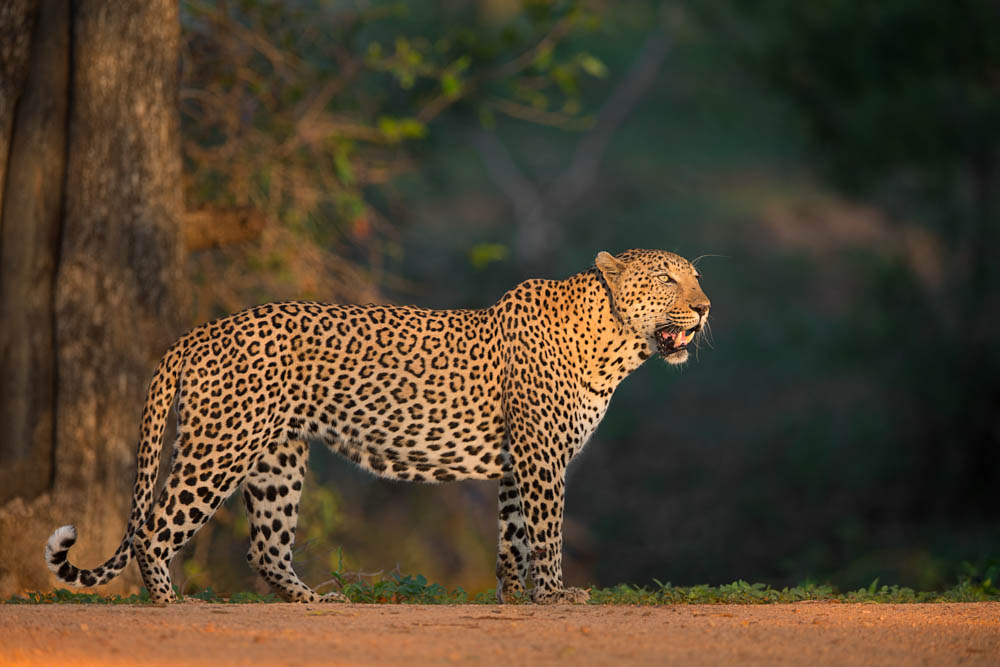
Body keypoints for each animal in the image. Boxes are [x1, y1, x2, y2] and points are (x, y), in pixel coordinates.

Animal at [43, 250, 708, 604]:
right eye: (668, 279)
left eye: (695, 278)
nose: (705, 307)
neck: (616, 343)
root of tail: (201, 331)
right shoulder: (542, 458)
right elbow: (546, 534)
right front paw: (553, 595)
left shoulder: (517, 464)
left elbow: (512, 539)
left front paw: (514, 598)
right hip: (220, 446)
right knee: (155, 527)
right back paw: (169, 602)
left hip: (277, 458)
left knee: (265, 546)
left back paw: (313, 602)